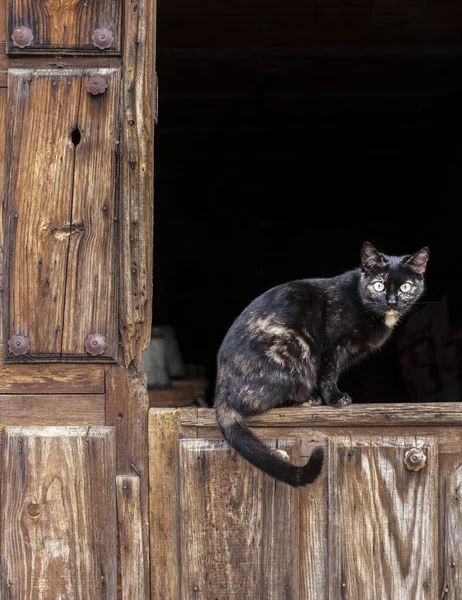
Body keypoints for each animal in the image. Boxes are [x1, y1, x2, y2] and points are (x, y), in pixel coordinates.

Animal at [215, 241, 428, 486]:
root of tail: (222, 381)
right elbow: (328, 374)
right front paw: (335, 399)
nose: (392, 301)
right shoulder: (332, 345)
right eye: (378, 285)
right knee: (250, 402)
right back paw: (308, 399)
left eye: (405, 287)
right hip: (294, 348)